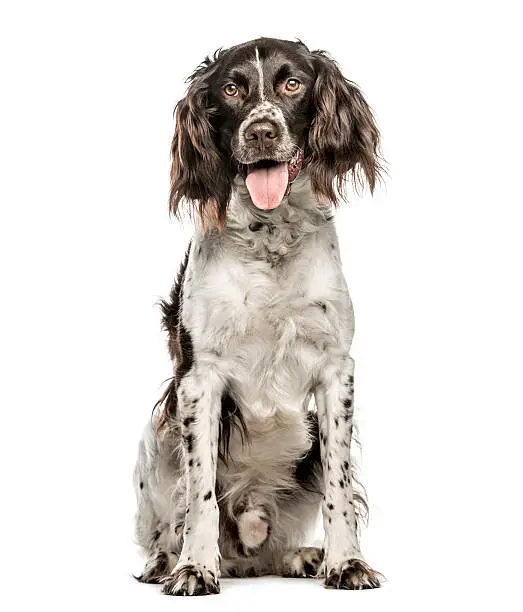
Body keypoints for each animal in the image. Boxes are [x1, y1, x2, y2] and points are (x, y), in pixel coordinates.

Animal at [133, 35, 382, 596]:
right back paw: (167, 560)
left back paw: (302, 557)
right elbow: (199, 490)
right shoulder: (198, 378)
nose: (261, 131)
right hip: (157, 432)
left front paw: (346, 563)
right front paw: (193, 567)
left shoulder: (336, 371)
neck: (270, 239)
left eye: (293, 83)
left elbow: (339, 488)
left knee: (274, 547)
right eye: (230, 89)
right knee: (169, 522)